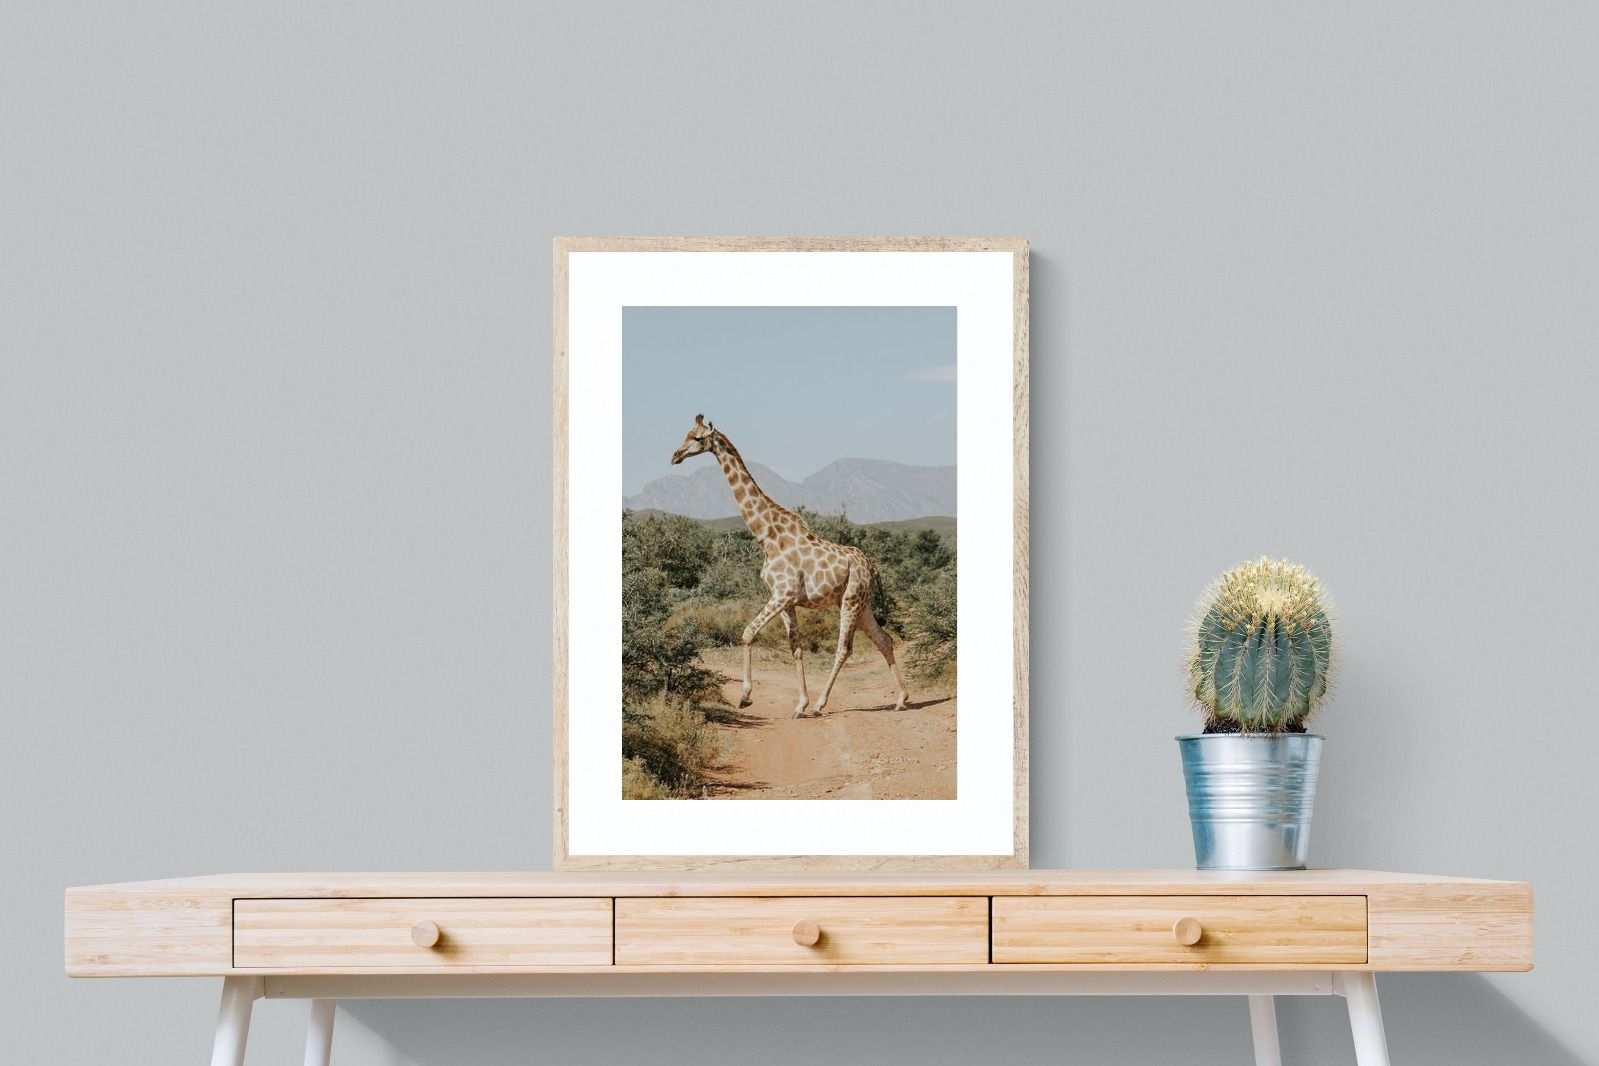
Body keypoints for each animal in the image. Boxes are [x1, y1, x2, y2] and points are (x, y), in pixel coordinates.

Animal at [670, 414, 911, 719]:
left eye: (698, 438)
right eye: (686, 433)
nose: (675, 456)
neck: (767, 537)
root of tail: (871, 565)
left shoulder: (782, 594)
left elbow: (748, 633)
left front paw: (746, 697)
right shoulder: (786, 601)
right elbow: (795, 648)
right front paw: (799, 705)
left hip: (851, 600)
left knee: (844, 648)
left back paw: (821, 705)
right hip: (863, 603)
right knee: (884, 640)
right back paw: (901, 698)